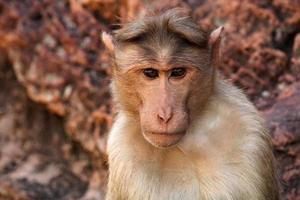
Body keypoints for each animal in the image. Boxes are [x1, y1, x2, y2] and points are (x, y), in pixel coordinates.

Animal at [101, 9, 278, 198]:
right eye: (150, 73)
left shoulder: (249, 133)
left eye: (178, 72)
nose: (165, 115)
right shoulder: (122, 148)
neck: (188, 142)